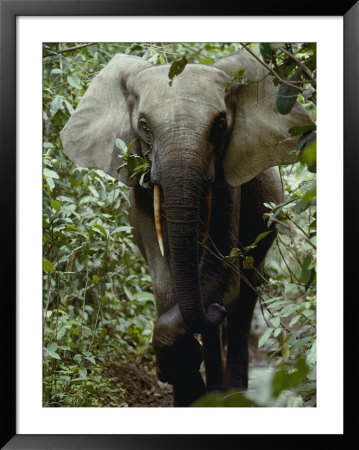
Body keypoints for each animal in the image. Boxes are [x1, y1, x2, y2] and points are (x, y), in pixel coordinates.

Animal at [60, 50, 314, 408]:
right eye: (143, 126)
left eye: (220, 125)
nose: (213, 310)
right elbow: (165, 280)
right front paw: (183, 378)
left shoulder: (228, 178)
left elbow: (223, 275)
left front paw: (185, 366)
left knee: (244, 295)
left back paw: (230, 394)